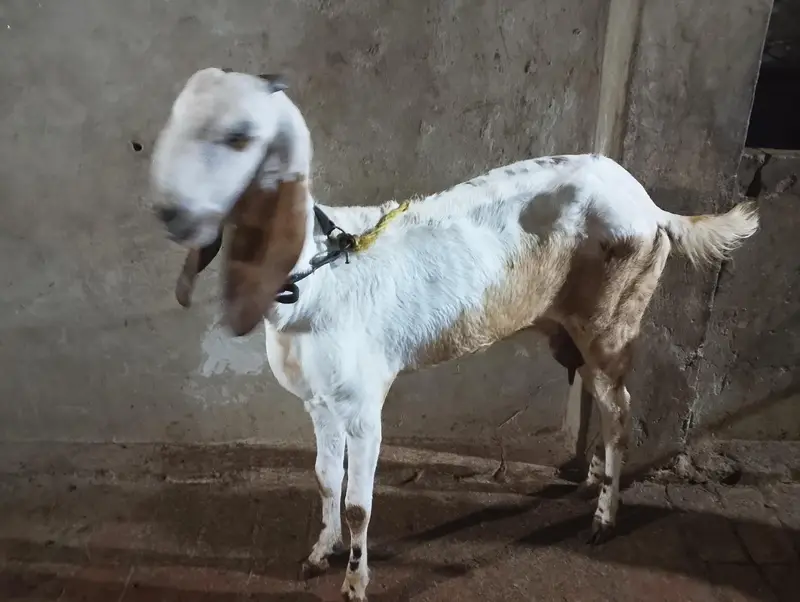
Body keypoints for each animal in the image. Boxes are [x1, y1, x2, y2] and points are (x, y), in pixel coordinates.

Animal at [150, 68, 759, 601]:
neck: (318, 270)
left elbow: (358, 504)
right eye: (175, 119)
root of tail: (653, 208)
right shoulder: (319, 402)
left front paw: (355, 583)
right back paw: (591, 480)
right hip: (573, 325)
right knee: (601, 397)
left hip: (614, 318)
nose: (169, 213)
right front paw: (319, 554)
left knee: (619, 411)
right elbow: (324, 479)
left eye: (239, 136)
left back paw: (604, 518)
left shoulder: (363, 403)